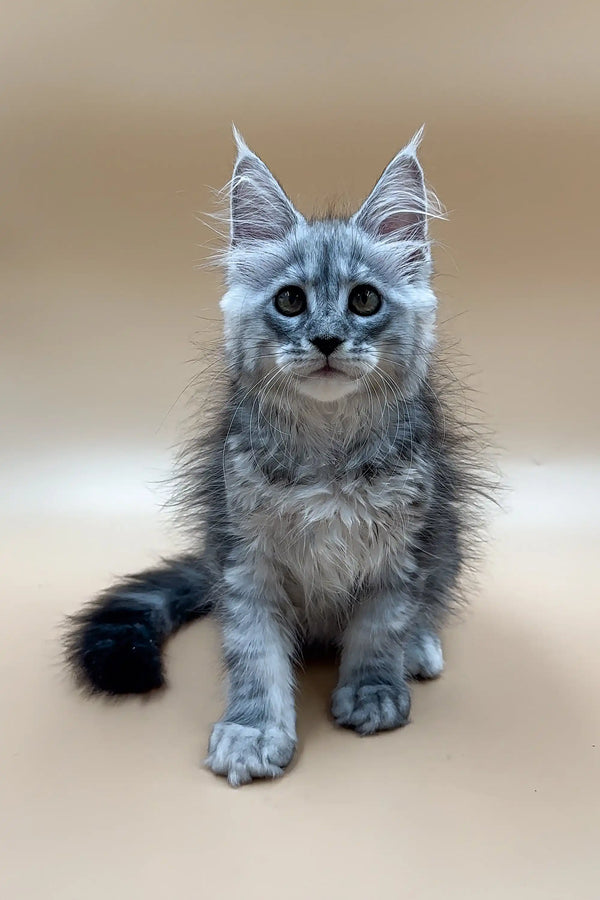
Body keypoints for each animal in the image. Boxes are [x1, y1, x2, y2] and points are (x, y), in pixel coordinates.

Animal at [64, 128, 488, 788]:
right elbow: (254, 656)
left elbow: (381, 628)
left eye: (364, 300)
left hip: (446, 538)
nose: (327, 339)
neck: (327, 455)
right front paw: (253, 732)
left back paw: (418, 649)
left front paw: (373, 691)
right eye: (290, 301)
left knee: (428, 604)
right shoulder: (245, 558)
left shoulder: (402, 550)